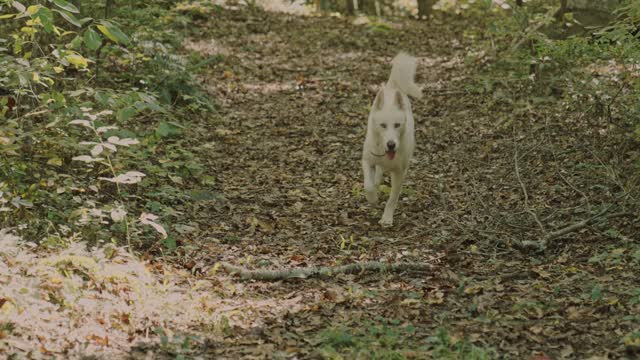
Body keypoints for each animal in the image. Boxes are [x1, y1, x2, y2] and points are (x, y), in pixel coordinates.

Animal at [362, 52, 422, 226]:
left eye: (397, 125)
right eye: (383, 125)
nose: (390, 145)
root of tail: (393, 86)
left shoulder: (399, 173)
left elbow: (393, 198)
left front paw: (387, 218)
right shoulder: (366, 160)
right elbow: (368, 185)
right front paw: (372, 198)